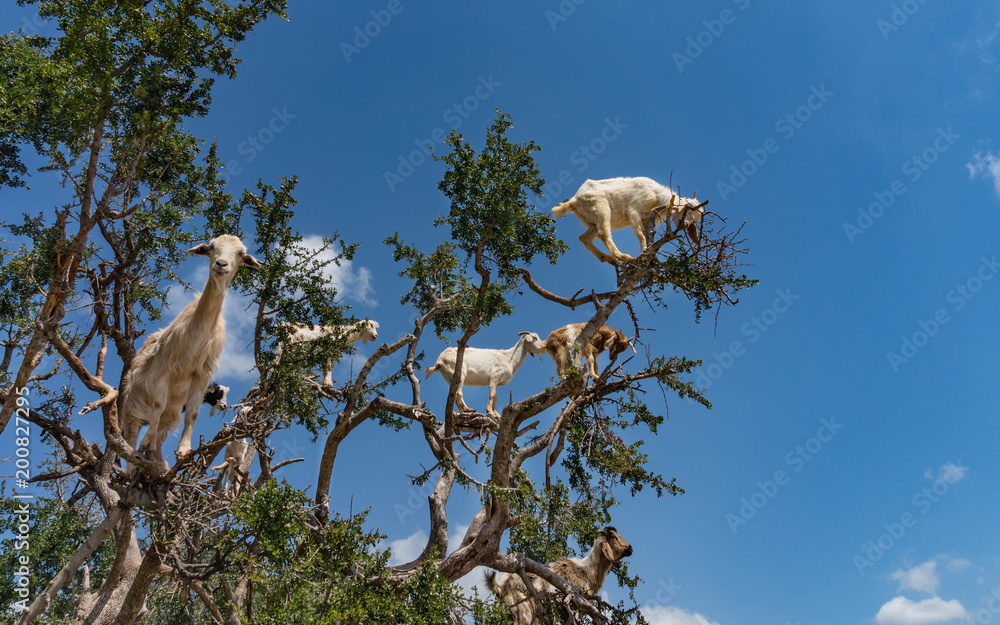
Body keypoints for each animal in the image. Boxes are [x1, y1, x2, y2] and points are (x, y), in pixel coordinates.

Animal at [119, 234, 262, 468]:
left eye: (241, 253)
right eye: (211, 247)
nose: (221, 264)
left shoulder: (201, 373)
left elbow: (193, 414)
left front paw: (184, 450)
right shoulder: (165, 370)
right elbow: (158, 404)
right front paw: (146, 442)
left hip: (172, 410)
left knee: (161, 433)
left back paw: (159, 463)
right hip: (134, 406)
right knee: (133, 437)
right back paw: (138, 457)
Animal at [484, 528, 632, 624]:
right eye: (613, 536)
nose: (630, 548)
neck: (588, 571)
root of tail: (500, 586)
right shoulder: (578, 607)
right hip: (523, 613)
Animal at [552, 176, 708, 264]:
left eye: (695, 221)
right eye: (688, 209)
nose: (686, 225)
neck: (658, 197)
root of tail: (573, 201)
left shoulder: (647, 219)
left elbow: (645, 233)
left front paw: (653, 257)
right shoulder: (633, 208)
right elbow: (639, 233)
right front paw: (644, 251)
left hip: (591, 219)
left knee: (584, 238)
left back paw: (606, 258)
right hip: (599, 206)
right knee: (603, 233)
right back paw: (623, 257)